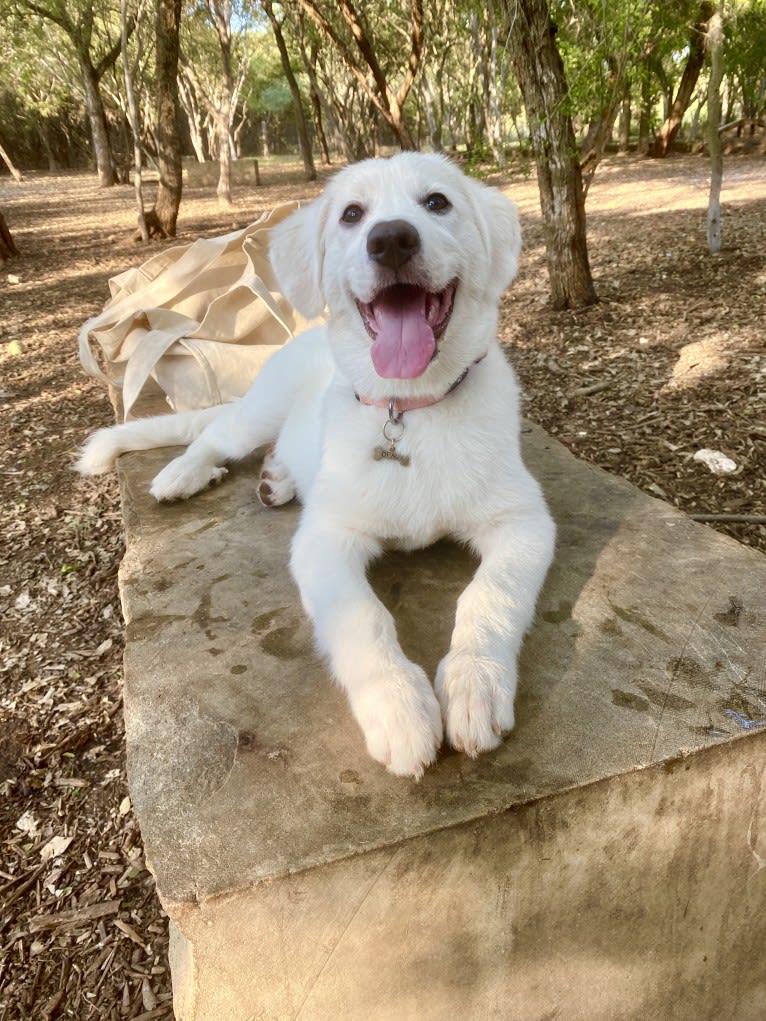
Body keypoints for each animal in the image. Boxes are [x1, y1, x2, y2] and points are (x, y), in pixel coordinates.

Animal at [78, 151, 559, 775]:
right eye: (352, 214)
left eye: (437, 202)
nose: (391, 240)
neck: (408, 408)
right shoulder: (325, 538)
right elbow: (362, 618)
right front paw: (397, 706)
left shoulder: (524, 522)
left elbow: (490, 595)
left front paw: (476, 683)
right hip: (260, 409)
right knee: (215, 433)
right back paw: (185, 473)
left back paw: (278, 478)